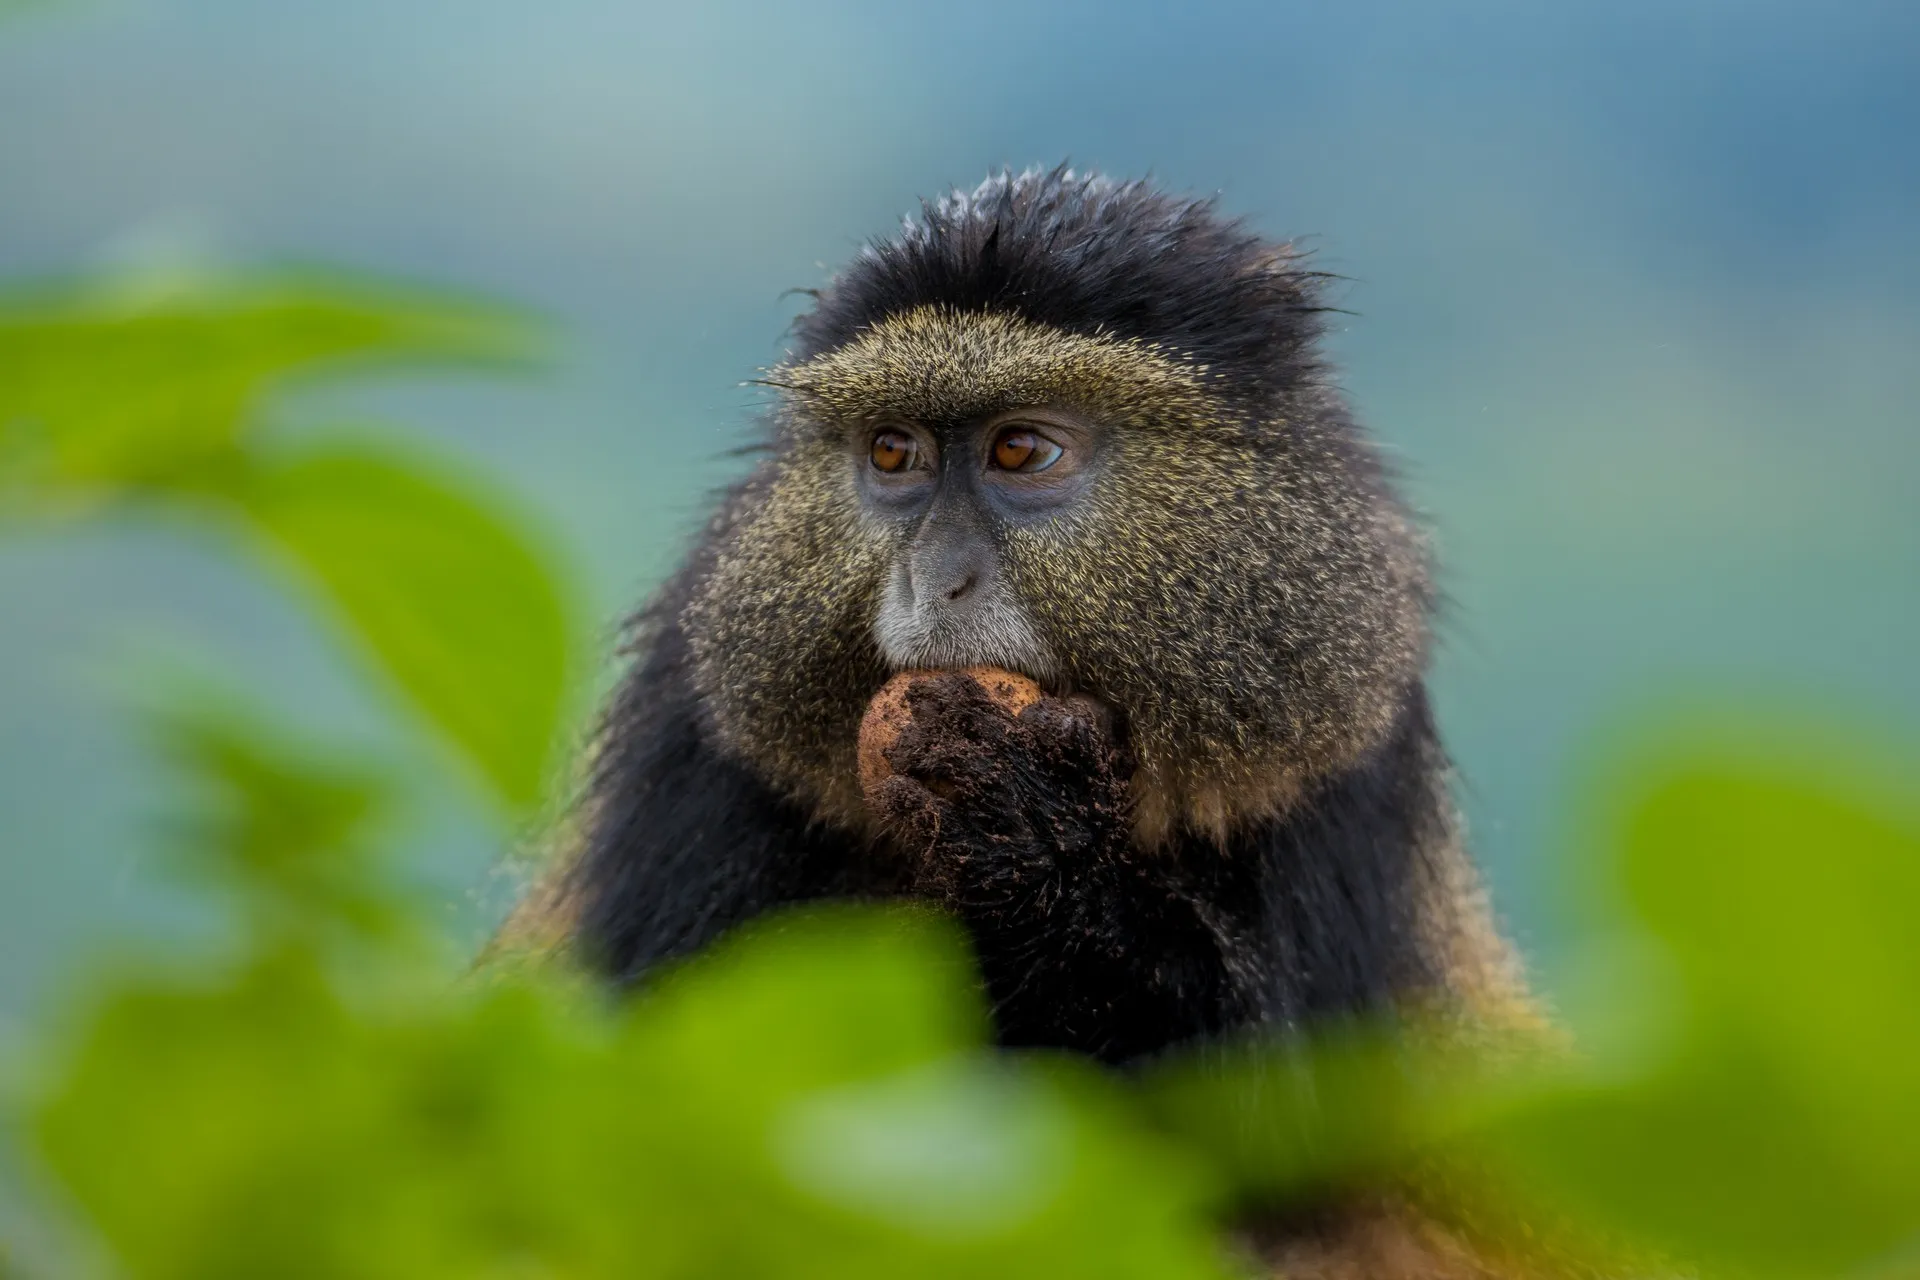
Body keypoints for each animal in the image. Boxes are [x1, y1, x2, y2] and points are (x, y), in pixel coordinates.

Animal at [505, 166, 1561, 1276]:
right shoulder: (694, 716)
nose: (936, 579)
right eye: (894, 451)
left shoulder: (1344, 734)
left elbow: (1281, 1133)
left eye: (1019, 448)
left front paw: (1030, 833)